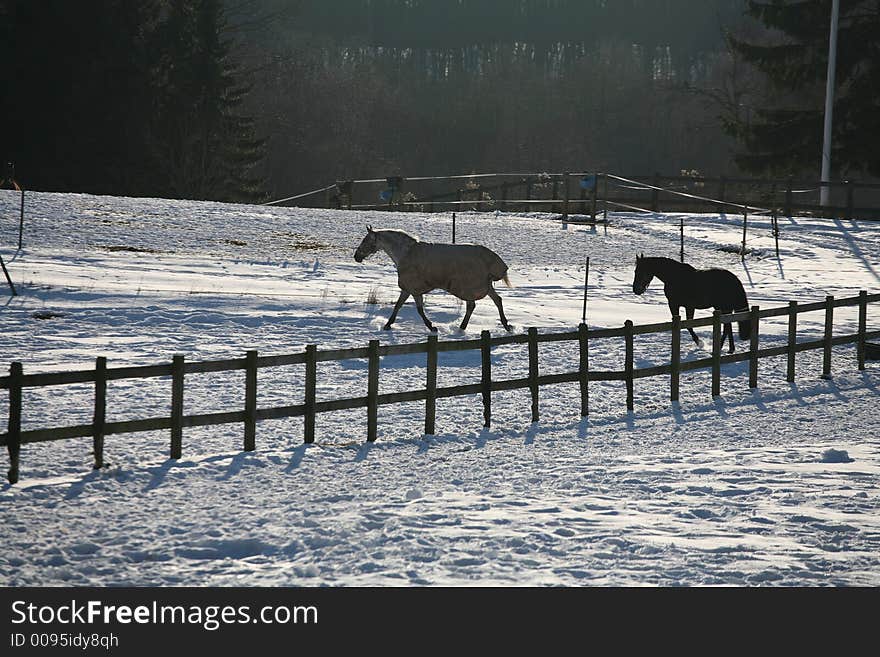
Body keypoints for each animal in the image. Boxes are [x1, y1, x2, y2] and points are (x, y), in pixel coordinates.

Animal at [354, 226, 512, 330]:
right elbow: (398, 305)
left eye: (365, 240)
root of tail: (492, 258)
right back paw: (504, 324)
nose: (356, 256)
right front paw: (388, 324)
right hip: (484, 286)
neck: (406, 253)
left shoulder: (413, 289)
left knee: (473, 305)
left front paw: (431, 326)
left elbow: (419, 309)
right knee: (496, 300)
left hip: (472, 287)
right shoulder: (408, 289)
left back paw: (464, 327)